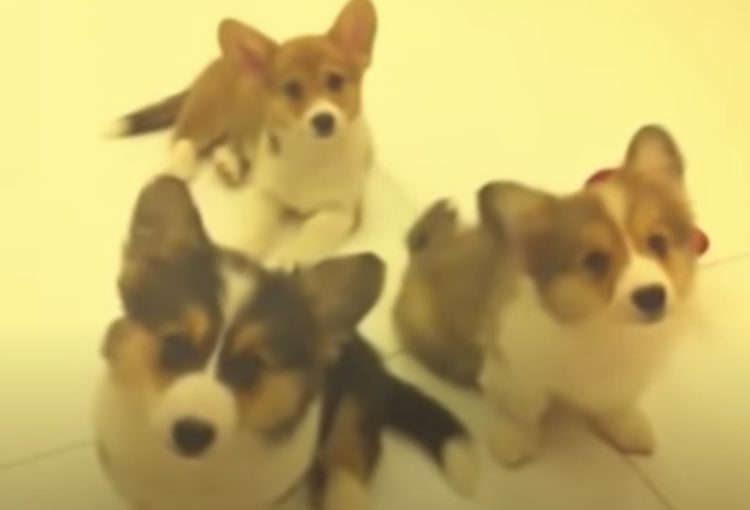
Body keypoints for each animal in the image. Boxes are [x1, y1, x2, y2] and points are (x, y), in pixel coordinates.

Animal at [109, 0, 377, 266]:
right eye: (292, 89)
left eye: (335, 81)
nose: (323, 120)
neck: (311, 153)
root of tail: (220, 61)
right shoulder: (265, 195)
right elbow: (256, 229)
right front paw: (244, 253)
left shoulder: (340, 212)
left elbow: (311, 237)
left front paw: (286, 261)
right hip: (209, 114)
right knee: (184, 136)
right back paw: (179, 166)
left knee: (229, 142)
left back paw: (229, 164)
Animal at [394, 125, 700, 467]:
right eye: (595, 261)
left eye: (658, 243)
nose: (652, 296)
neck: (603, 330)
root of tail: (421, 250)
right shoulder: (513, 371)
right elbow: (522, 411)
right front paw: (514, 440)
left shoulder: (627, 378)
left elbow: (617, 403)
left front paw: (627, 426)